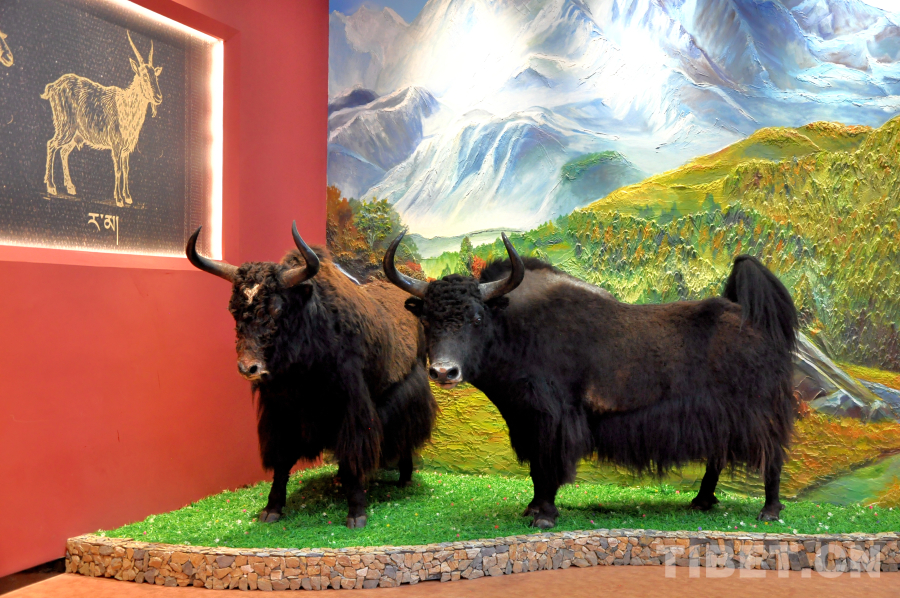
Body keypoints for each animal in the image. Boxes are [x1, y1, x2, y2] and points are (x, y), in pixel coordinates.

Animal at [187, 223, 437, 528]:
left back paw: (404, 479)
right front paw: (272, 509)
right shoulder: (280, 412)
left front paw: (356, 513)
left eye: (276, 308)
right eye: (234, 309)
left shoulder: (352, 407)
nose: (248, 368)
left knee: (407, 432)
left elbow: (353, 455)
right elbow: (282, 459)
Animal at [384, 233, 797, 529]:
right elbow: (535, 468)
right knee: (718, 456)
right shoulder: (524, 417)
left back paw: (769, 511)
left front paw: (544, 515)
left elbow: (547, 464)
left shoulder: (552, 417)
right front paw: (532, 508)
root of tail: (752, 317)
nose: (443, 372)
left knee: (773, 456)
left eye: (476, 317)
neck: (514, 328)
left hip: (759, 412)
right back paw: (701, 501)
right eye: (427, 318)